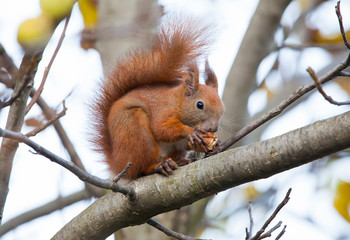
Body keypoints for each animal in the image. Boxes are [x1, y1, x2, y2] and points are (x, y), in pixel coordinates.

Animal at [91, 16, 224, 179]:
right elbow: (161, 129)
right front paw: (190, 132)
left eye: (222, 109)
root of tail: (117, 162)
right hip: (135, 129)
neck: (177, 102)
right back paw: (159, 166)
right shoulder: (162, 110)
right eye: (200, 105)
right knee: (141, 168)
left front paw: (214, 144)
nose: (214, 128)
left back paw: (180, 162)